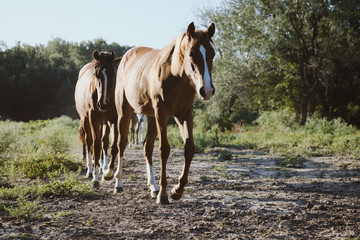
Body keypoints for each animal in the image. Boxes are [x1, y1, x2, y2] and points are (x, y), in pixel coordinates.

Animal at [74, 50, 121, 188]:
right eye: (96, 74)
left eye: (113, 73)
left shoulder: (114, 120)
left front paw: (109, 174)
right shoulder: (93, 118)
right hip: (85, 119)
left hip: (104, 122)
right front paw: (95, 178)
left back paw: (102, 167)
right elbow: (95, 145)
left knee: (103, 142)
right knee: (89, 142)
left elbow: (113, 146)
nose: (103, 104)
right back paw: (90, 171)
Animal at [109, 22, 217, 202]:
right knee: (121, 144)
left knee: (147, 147)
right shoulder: (162, 113)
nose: (207, 90)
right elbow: (164, 150)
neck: (175, 75)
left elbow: (189, 148)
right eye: (192, 53)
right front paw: (164, 194)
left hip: (151, 118)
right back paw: (118, 183)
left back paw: (153, 187)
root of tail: (127, 56)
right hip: (124, 112)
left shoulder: (184, 114)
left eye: (213, 54)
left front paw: (177, 190)